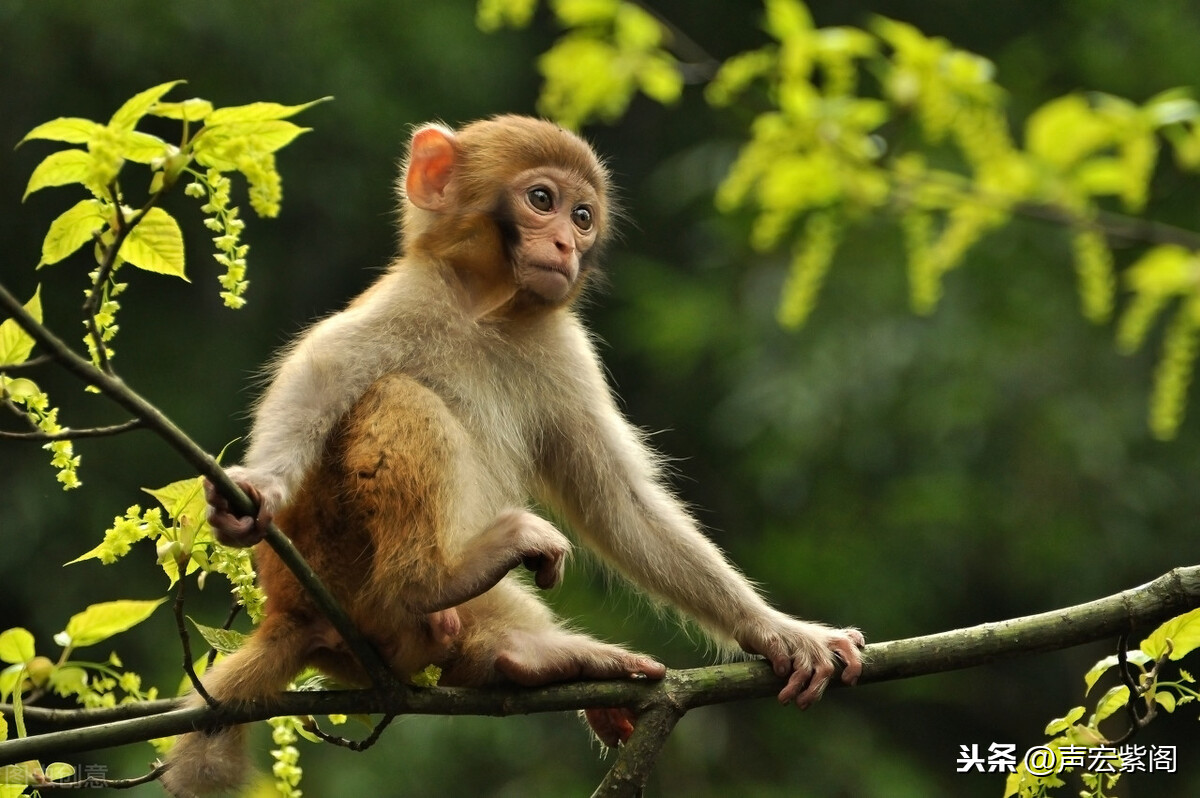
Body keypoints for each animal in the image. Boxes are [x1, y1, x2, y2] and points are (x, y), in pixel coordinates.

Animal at [162, 115, 864, 792]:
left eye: (582, 217)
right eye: (541, 200)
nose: (566, 246)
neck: (488, 311)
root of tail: (289, 611)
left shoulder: (562, 346)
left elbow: (620, 504)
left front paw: (778, 632)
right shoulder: (414, 296)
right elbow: (323, 371)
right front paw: (259, 486)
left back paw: (527, 656)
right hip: (334, 561)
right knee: (396, 395)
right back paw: (429, 581)